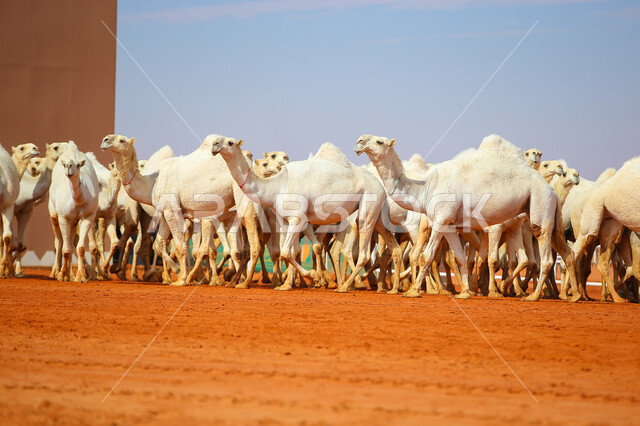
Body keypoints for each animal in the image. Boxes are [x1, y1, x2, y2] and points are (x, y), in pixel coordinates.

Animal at [48, 142, 100, 282]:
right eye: (65, 164)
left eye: (77, 165)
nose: (68, 167)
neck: (79, 201)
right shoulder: (63, 217)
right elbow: (65, 249)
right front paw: (61, 275)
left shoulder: (88, 216)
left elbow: (80, 248)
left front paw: (80, 277)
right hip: (54, 213)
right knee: (59, 242)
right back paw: (56, 272)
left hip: (75, 220)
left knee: (71, 243)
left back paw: (70, 275)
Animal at [212, 136, 403, 293]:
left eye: (230, 142)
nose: (214, 145)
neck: (275, 186)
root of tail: (380, 185)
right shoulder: (285, 219)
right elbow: (291, 251)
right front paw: (286, 285)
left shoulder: (297, 217)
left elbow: (286, 252)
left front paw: (313, 276)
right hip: (378, 213)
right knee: (394, 248)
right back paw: (393, 289)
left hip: (368, 205)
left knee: (362, 251)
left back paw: (345, 286)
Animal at [355, 133, 582, 302]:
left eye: (379, 141)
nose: (359, 141)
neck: (425, 188)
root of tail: (551, 191)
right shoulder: (449, 225)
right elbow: (459, 257)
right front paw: (465, 292)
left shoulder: (440, 219)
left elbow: (427, 256)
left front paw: (413, 291)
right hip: (547, 213)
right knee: (567, 253)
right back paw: (574, 296)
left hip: (539, 206)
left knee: (545, 254)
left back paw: (532, 296)